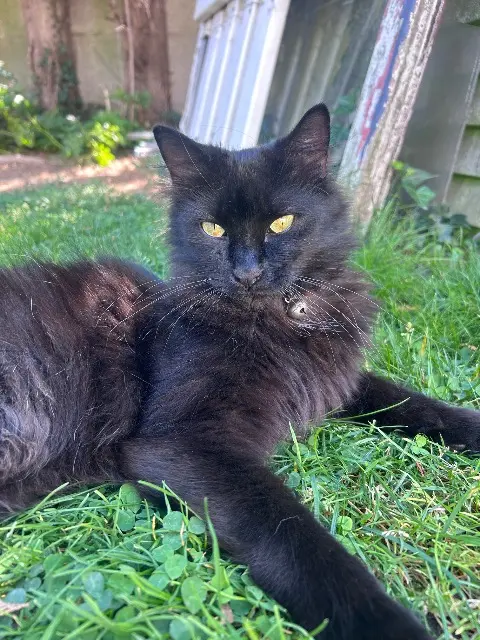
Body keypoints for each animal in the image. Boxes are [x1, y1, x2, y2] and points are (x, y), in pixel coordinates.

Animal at [1, 104, 479, 639]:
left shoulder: (336, 380)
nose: (247, 272)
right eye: (213, 229)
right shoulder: (185, 442)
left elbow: (413, 402)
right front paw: (383, 623)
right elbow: (293, 539)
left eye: (282, 223)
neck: (280, 321)